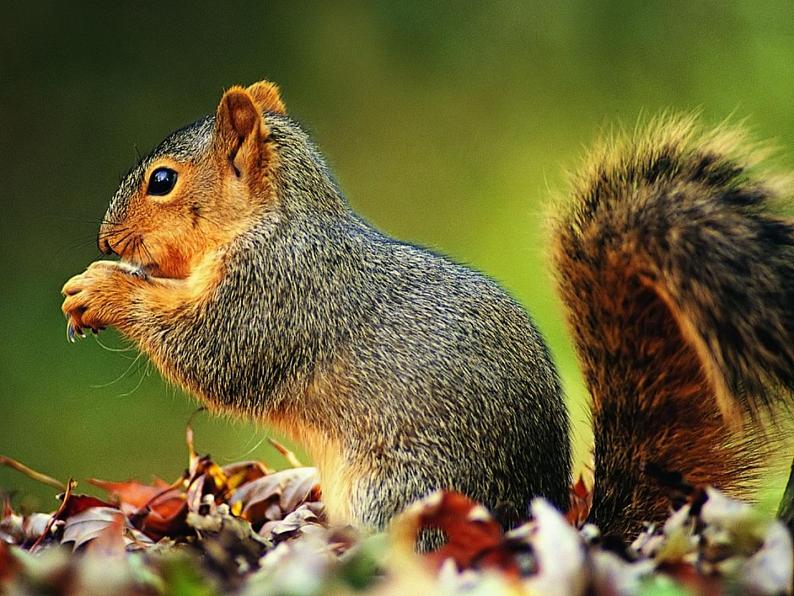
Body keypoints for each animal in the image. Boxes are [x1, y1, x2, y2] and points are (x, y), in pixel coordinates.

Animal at [60, 81, 792, 544]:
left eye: (162, 180)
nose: (105, 239)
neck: (275, 220)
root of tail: (533, 517)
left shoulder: (275, 293)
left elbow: (210, 352)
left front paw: (102, 289)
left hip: (402, 493)